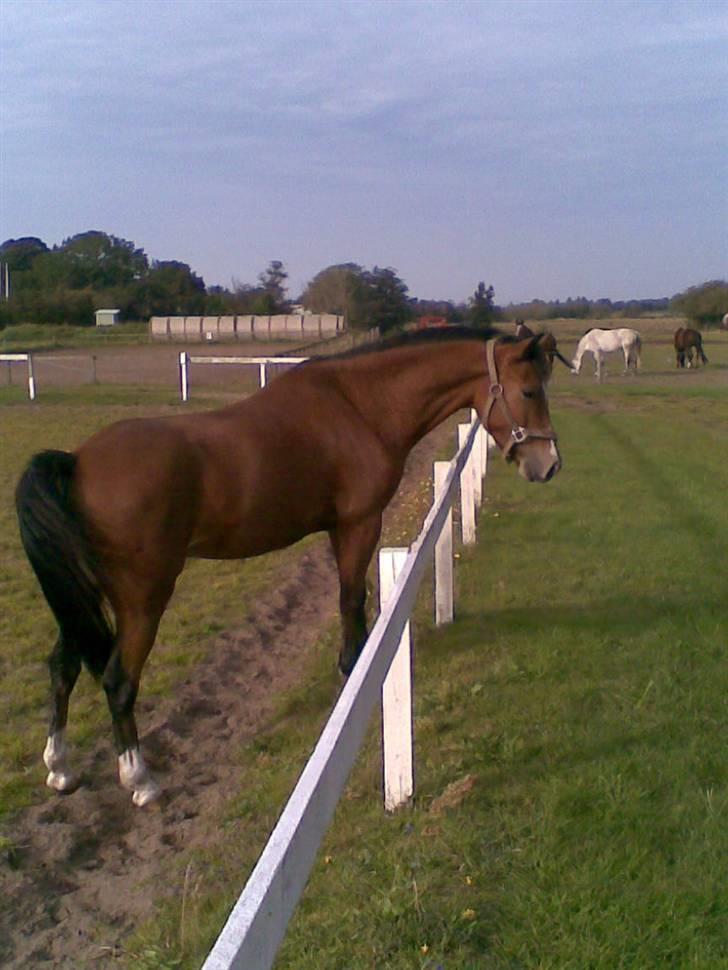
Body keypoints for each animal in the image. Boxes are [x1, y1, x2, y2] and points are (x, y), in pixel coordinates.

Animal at [16, 327, 561, 807]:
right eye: (529, 389)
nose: (549, 465)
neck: (360, 405)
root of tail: (77, 462)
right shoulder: (359, 523)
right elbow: (351, 598)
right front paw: (355, 670)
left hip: (88, 597)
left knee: (62, 667)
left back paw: (60, 769)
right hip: (141, 600)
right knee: (118, 682)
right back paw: (141, 780)